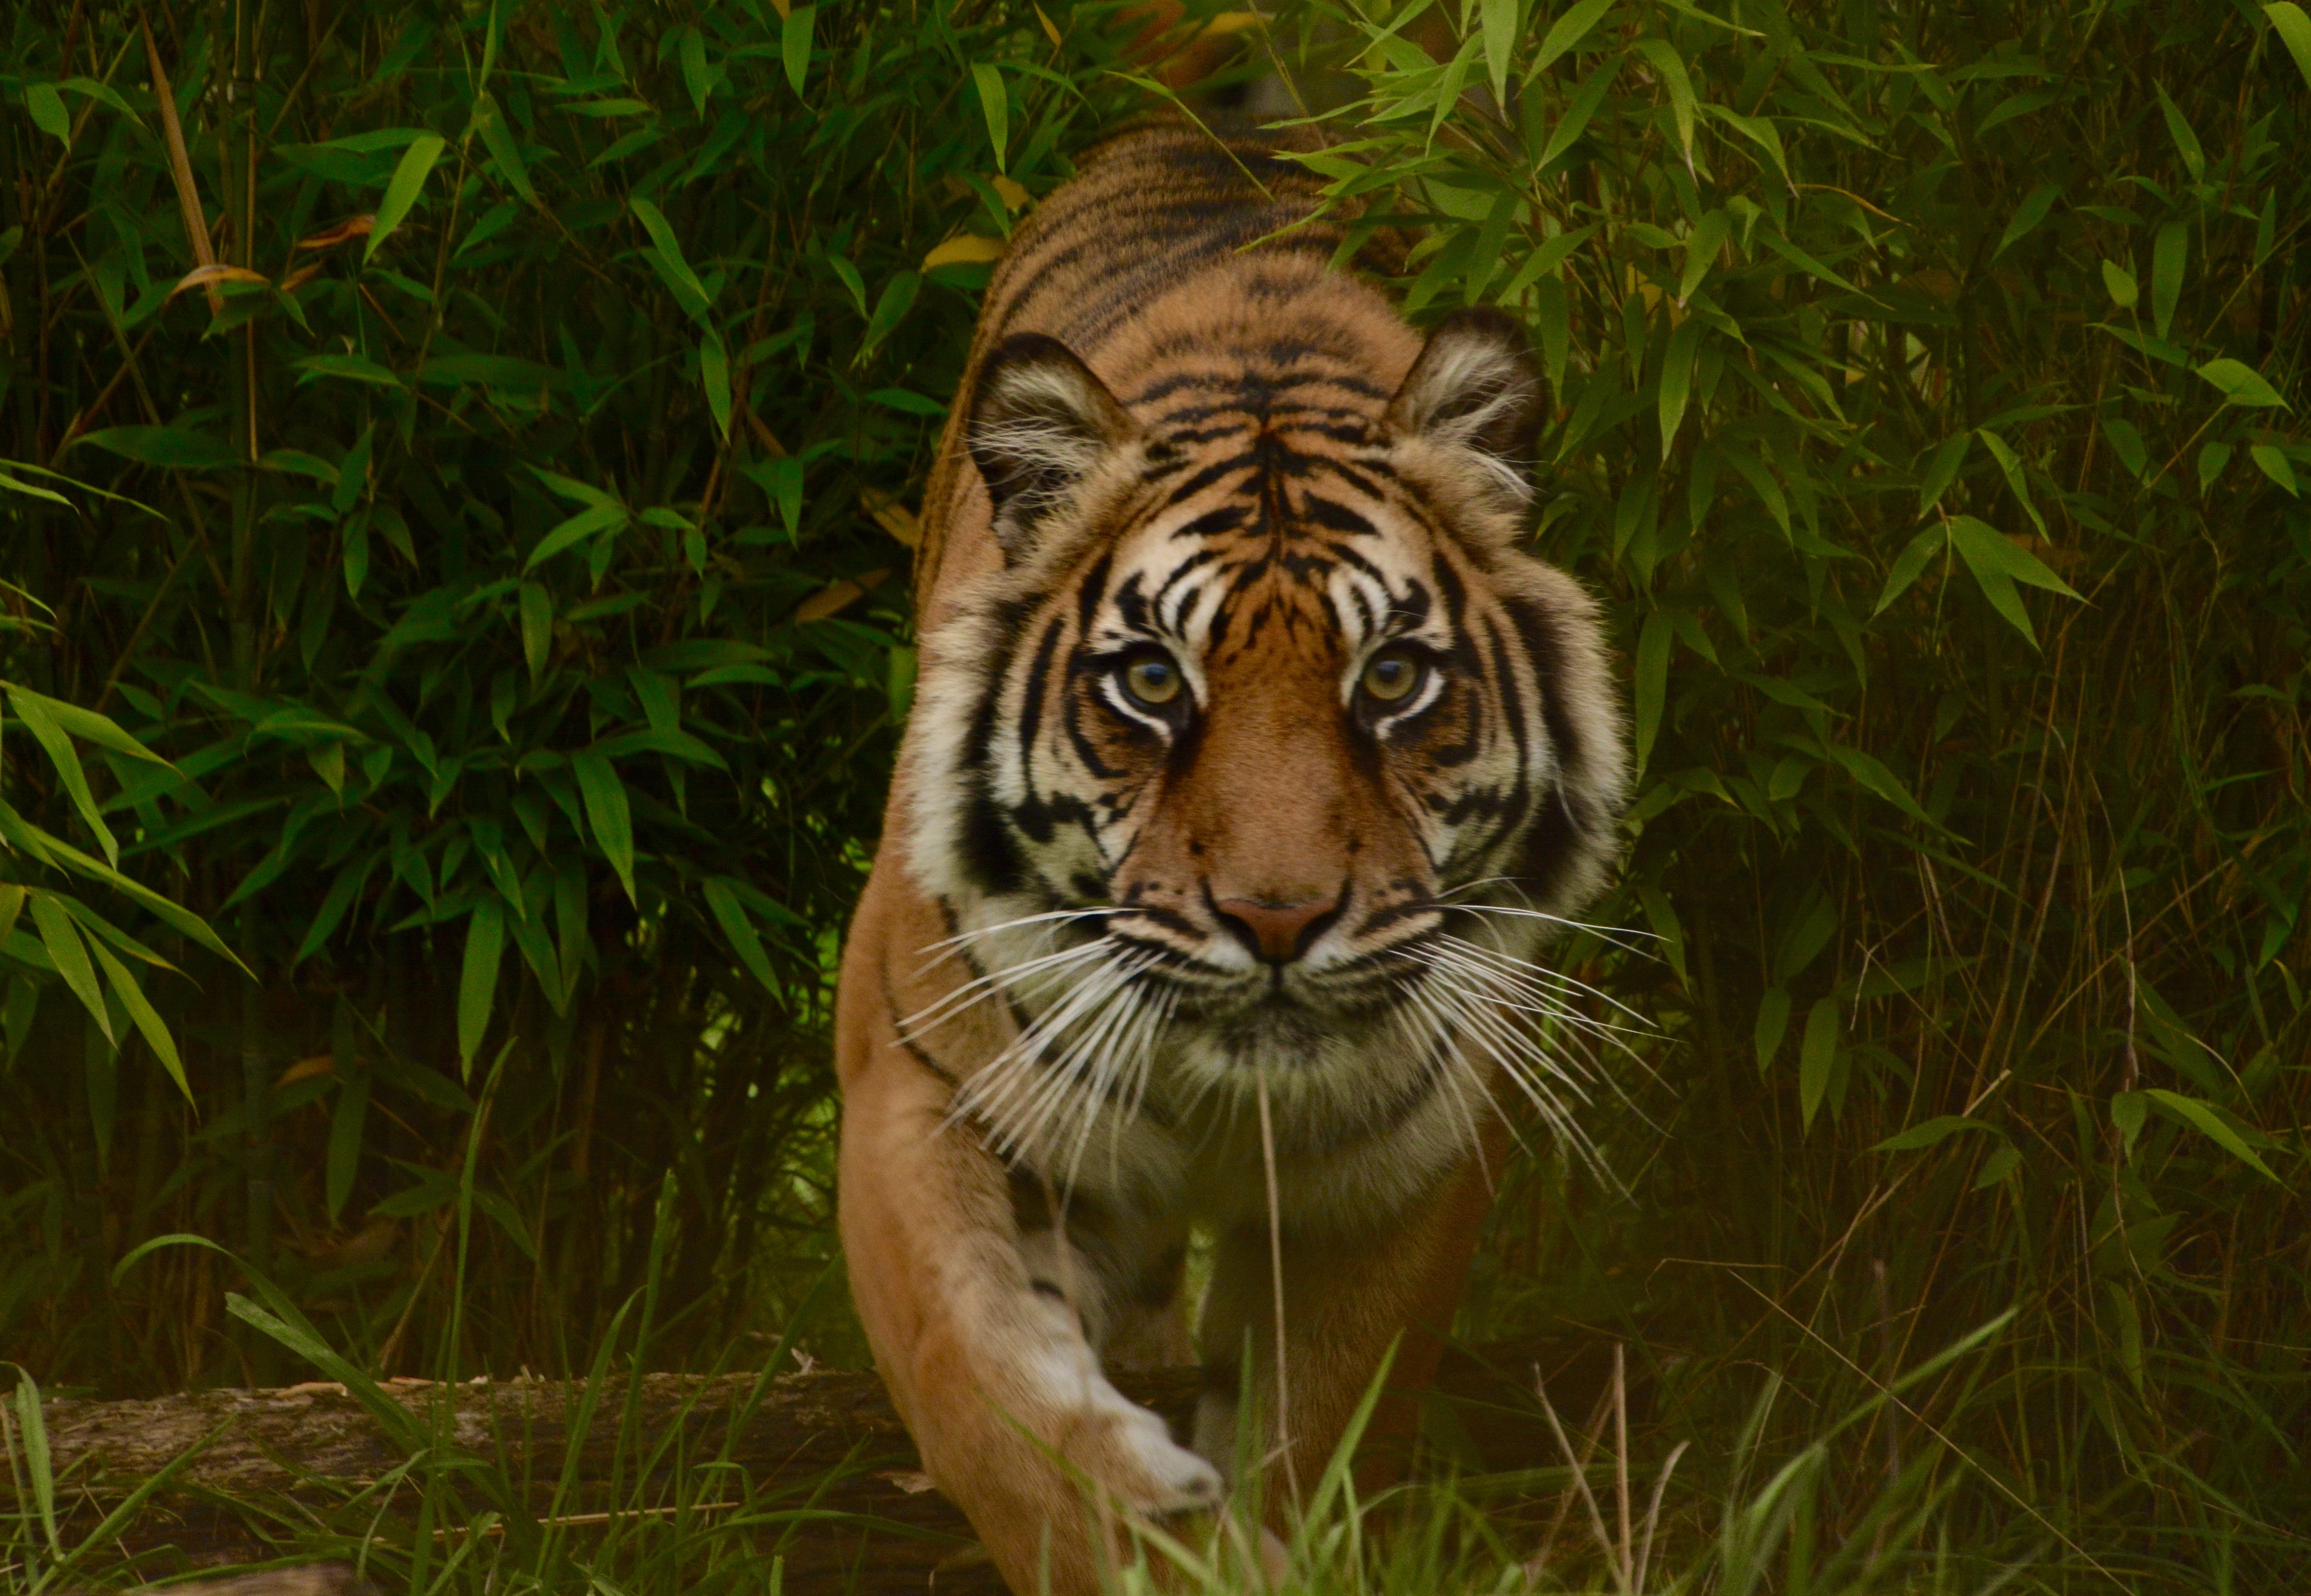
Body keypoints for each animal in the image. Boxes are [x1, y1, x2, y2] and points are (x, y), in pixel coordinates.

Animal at [836, 115, 1627, 1596]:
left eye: (1391, 679)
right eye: (1152, 680)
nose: (1275, 919)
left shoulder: (1406, 1159)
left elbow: (1322, 1420)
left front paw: (1266, 1541)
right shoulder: (921, 1085)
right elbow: (979, 1383)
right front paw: (1140, 1523)